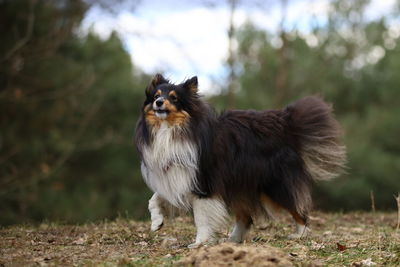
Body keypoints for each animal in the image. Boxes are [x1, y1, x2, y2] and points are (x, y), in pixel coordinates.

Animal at [135, 74, 346, 249]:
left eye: (174, 98)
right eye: (155, 96)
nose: (159, 103)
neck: (171, 129)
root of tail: (285, 124)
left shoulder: (204, 182)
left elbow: (201, 217)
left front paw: (199, 243)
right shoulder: (178, 174)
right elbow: (154, 198)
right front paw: (157, 222)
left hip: (273, 184)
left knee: (297, 209)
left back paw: (299, 234)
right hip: (240, 182)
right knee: (245, 217)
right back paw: (233, 240)